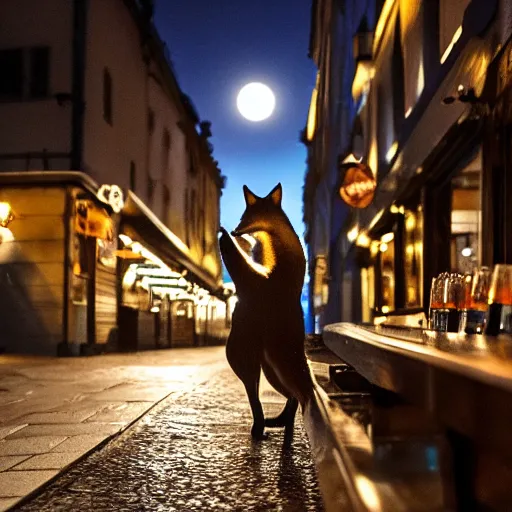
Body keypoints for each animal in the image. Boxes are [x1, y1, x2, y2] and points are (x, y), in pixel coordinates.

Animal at [219, 184, 314, 440]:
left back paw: (271, 426)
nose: (236, 230)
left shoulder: (263, 277)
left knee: (295, 394)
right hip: (260, 364)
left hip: (267, 363)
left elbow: (235, 259)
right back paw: (267, 425)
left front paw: (223, 235)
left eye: (246, 216)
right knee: (272, 395)